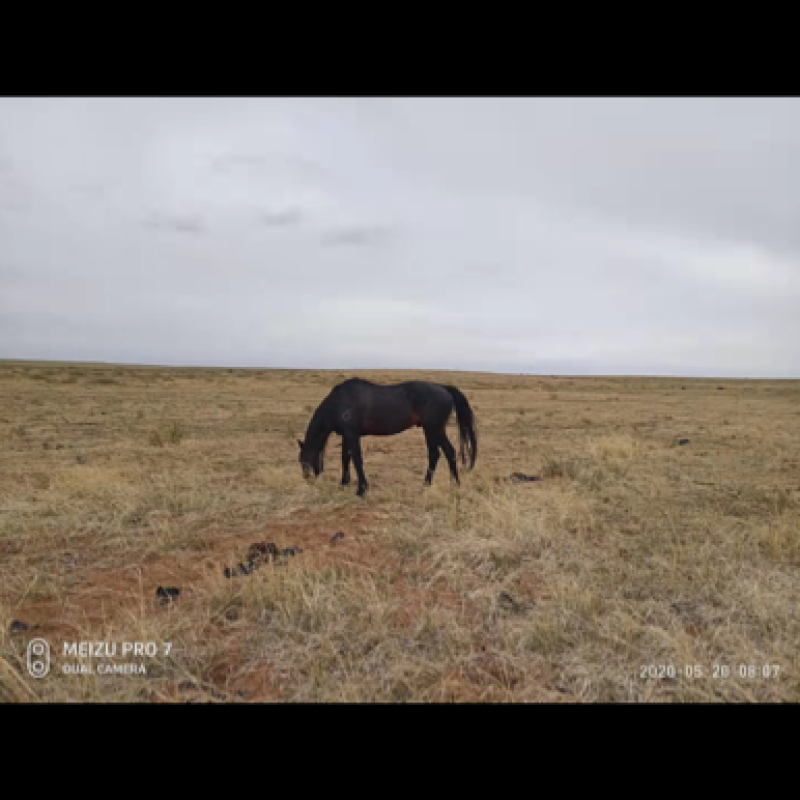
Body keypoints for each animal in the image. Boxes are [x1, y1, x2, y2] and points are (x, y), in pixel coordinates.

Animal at [297, 377, 478, 497]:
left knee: (436, 454)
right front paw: (344, 484)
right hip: (437, 430)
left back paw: (428, 484)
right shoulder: (346, 436)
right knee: (448, 452)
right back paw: (452, 484)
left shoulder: (352, 434)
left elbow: (356, 459)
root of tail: (443, 388)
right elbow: (345, 458)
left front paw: (361, 489)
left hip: (431, 429)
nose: (307, 479)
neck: (339, 402)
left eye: (303, 460)